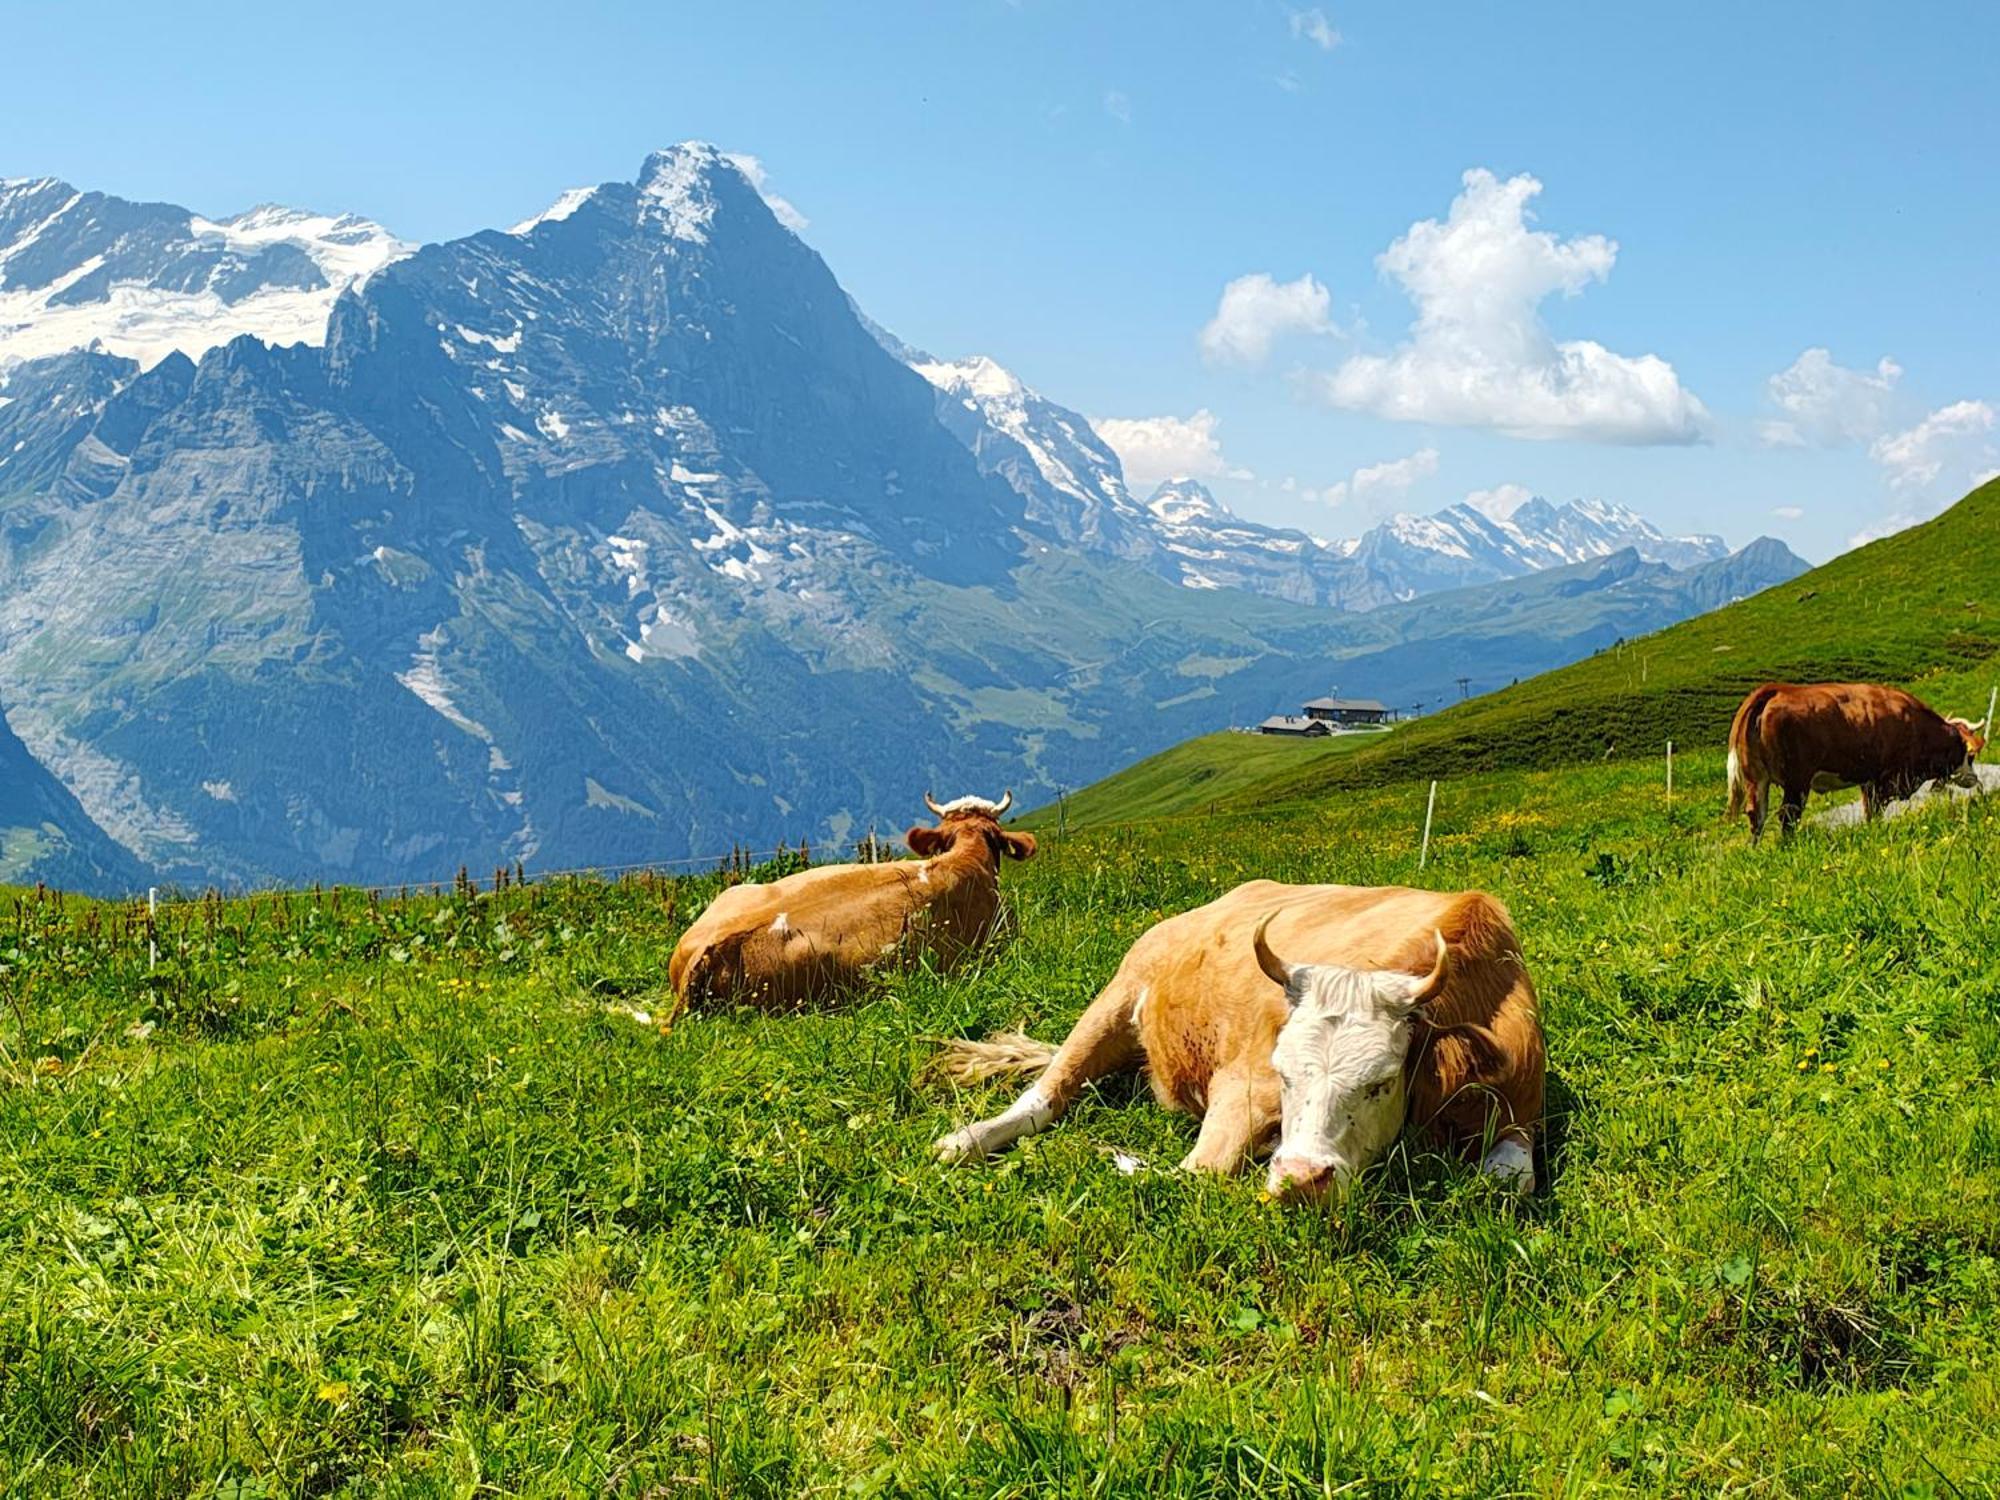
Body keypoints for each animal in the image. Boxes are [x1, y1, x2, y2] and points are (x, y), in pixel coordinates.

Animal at [936, 888, 1544, 1208]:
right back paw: (963, 1141)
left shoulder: (1522, 1108)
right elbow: (1198, 1172)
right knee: (1044, 1097)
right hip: (1117, 993)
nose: (1300, 1179)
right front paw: (1123, 1160)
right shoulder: (1241, 1083)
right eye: (1284, 1073)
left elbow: (1509, 1184)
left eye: (1381, 1082)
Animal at [1720, 688, 1984, 840]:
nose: (1974, 779)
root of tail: (1776, 689)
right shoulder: (1885, 780)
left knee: (1757, 815)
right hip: (1797, 781)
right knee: (1788, 816)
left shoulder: (1869, 781)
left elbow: (1869, 810)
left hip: (1756, 778)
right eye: (1969, 756)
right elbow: (1875, 810)